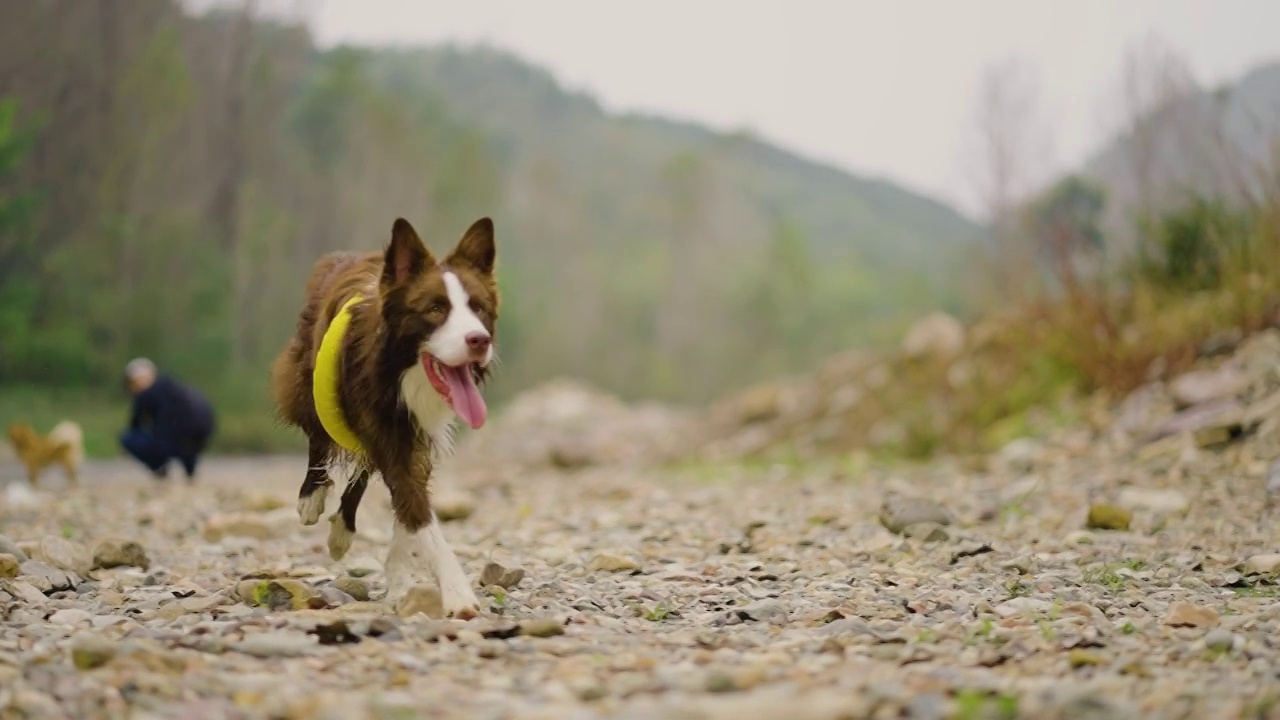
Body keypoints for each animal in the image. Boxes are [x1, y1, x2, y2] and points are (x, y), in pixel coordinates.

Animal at [271, 213, 499, 617]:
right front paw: (457, 593)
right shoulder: (382, 423)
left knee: (362, 464)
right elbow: (421, 517)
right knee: (318, 434)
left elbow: (408, 510)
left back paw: (342, 529)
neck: (402, 373)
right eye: (435, 309)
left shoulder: (417, 439)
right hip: (310, 381)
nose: (479, 340)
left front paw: (399, 580)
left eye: (479, 308)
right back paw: (312, 498)